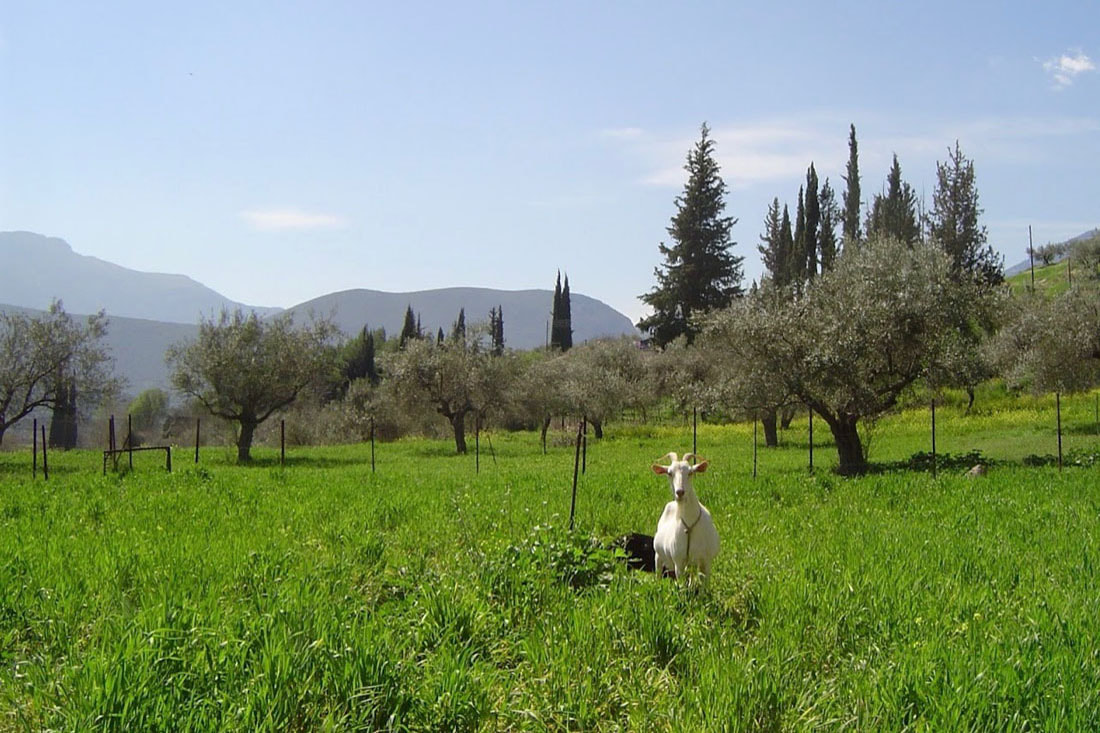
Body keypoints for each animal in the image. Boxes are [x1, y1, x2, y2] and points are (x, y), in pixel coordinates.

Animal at [651, 449, 721, 581]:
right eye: (669, 473)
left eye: (690, 472)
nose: (680, 492)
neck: (690, 526)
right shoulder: (679, 563)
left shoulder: (706, 561)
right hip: (658, 556)